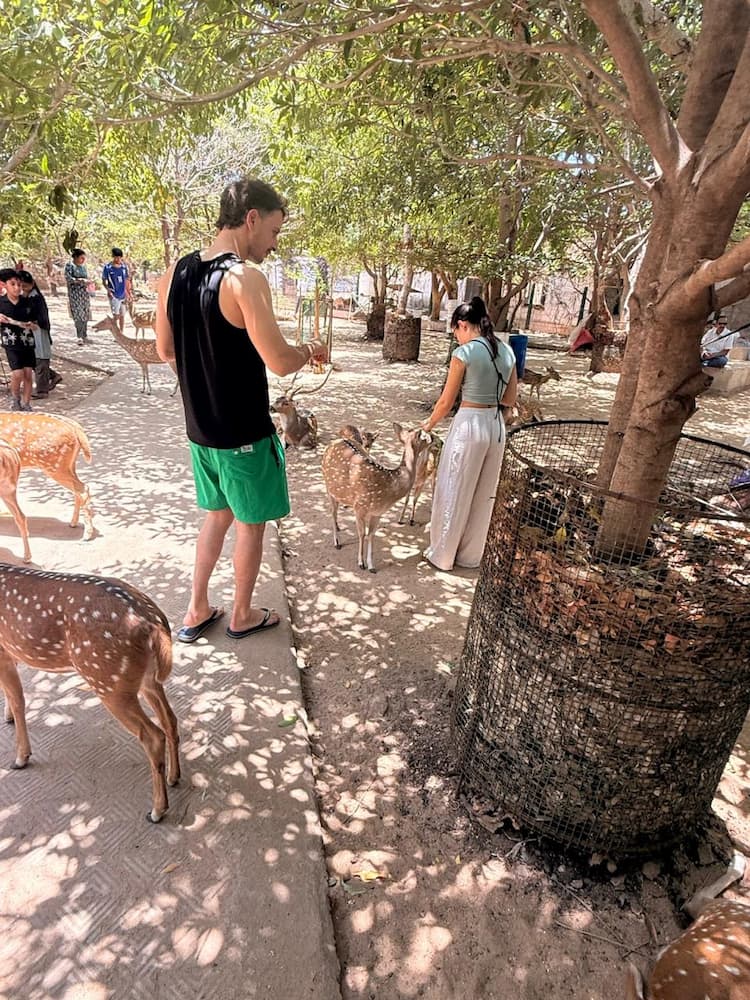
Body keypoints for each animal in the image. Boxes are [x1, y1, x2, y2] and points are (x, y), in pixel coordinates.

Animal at [0, 412, 94, 541]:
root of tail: (75, 427)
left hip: (54, 466)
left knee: (83, 489)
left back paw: (87, 534)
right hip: (68, 465)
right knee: (78, 490)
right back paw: (73, 523)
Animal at [0, 562, 180, 823]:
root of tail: (153, 624)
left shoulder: (3, 651)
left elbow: (18, 700)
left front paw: (21, 757)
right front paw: (8, 719)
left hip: (107, 681)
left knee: (153, 735)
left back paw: (156, 810)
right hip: (146, 679)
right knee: (170, 719)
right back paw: (174, 777)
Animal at [322, 423, 431, 572]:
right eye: (423, 436)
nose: (432, 438)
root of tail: (334, 442)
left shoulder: (378, 513)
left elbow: (371, 534)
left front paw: (371, 566)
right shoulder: (359, 507)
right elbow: (362, 534)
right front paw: (361, 563)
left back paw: (339, 527)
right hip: (328, 488)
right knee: (332, 513)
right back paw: (337, 542)